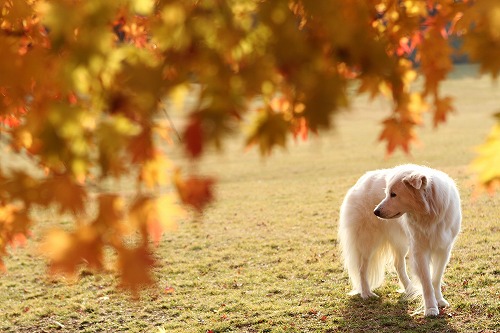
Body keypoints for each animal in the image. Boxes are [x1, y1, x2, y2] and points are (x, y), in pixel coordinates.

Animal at [340, 165, 460, 316]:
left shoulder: (444, 249)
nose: (375, 211)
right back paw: (366, 293)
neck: (429, 214)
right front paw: (431, 308)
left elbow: (436, 279)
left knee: (398, 265)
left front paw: (439, 300)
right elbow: (427, 282)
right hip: (369, 241)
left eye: (393, 194)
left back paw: (409, 288)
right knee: (362, 268)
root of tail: (361, 181)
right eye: (386, 193)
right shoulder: (419, 250)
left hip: (401, 244)